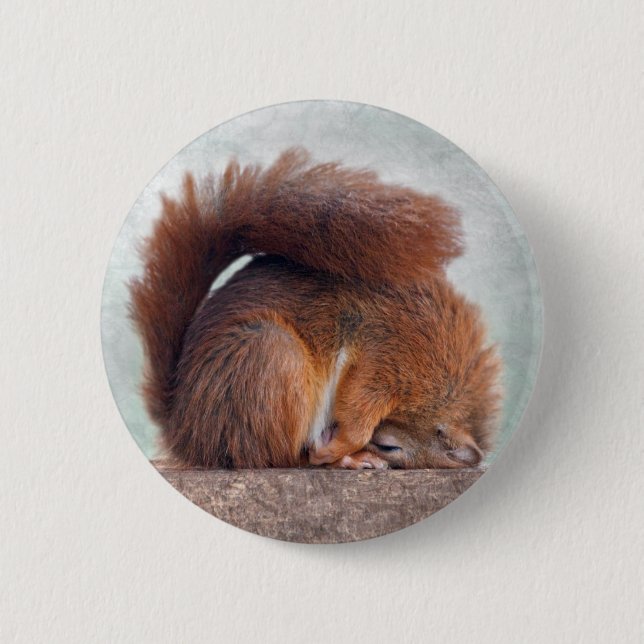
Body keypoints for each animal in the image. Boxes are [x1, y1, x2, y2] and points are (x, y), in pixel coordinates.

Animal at [129, 148, 501, 470]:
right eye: (389, 446)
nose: (377, 447)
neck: (445, 386)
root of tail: (187, 433)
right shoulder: (392, 354)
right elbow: (359, 404)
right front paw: (342, 446)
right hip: (270, 356)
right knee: (281, 459)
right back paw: (342, 458)